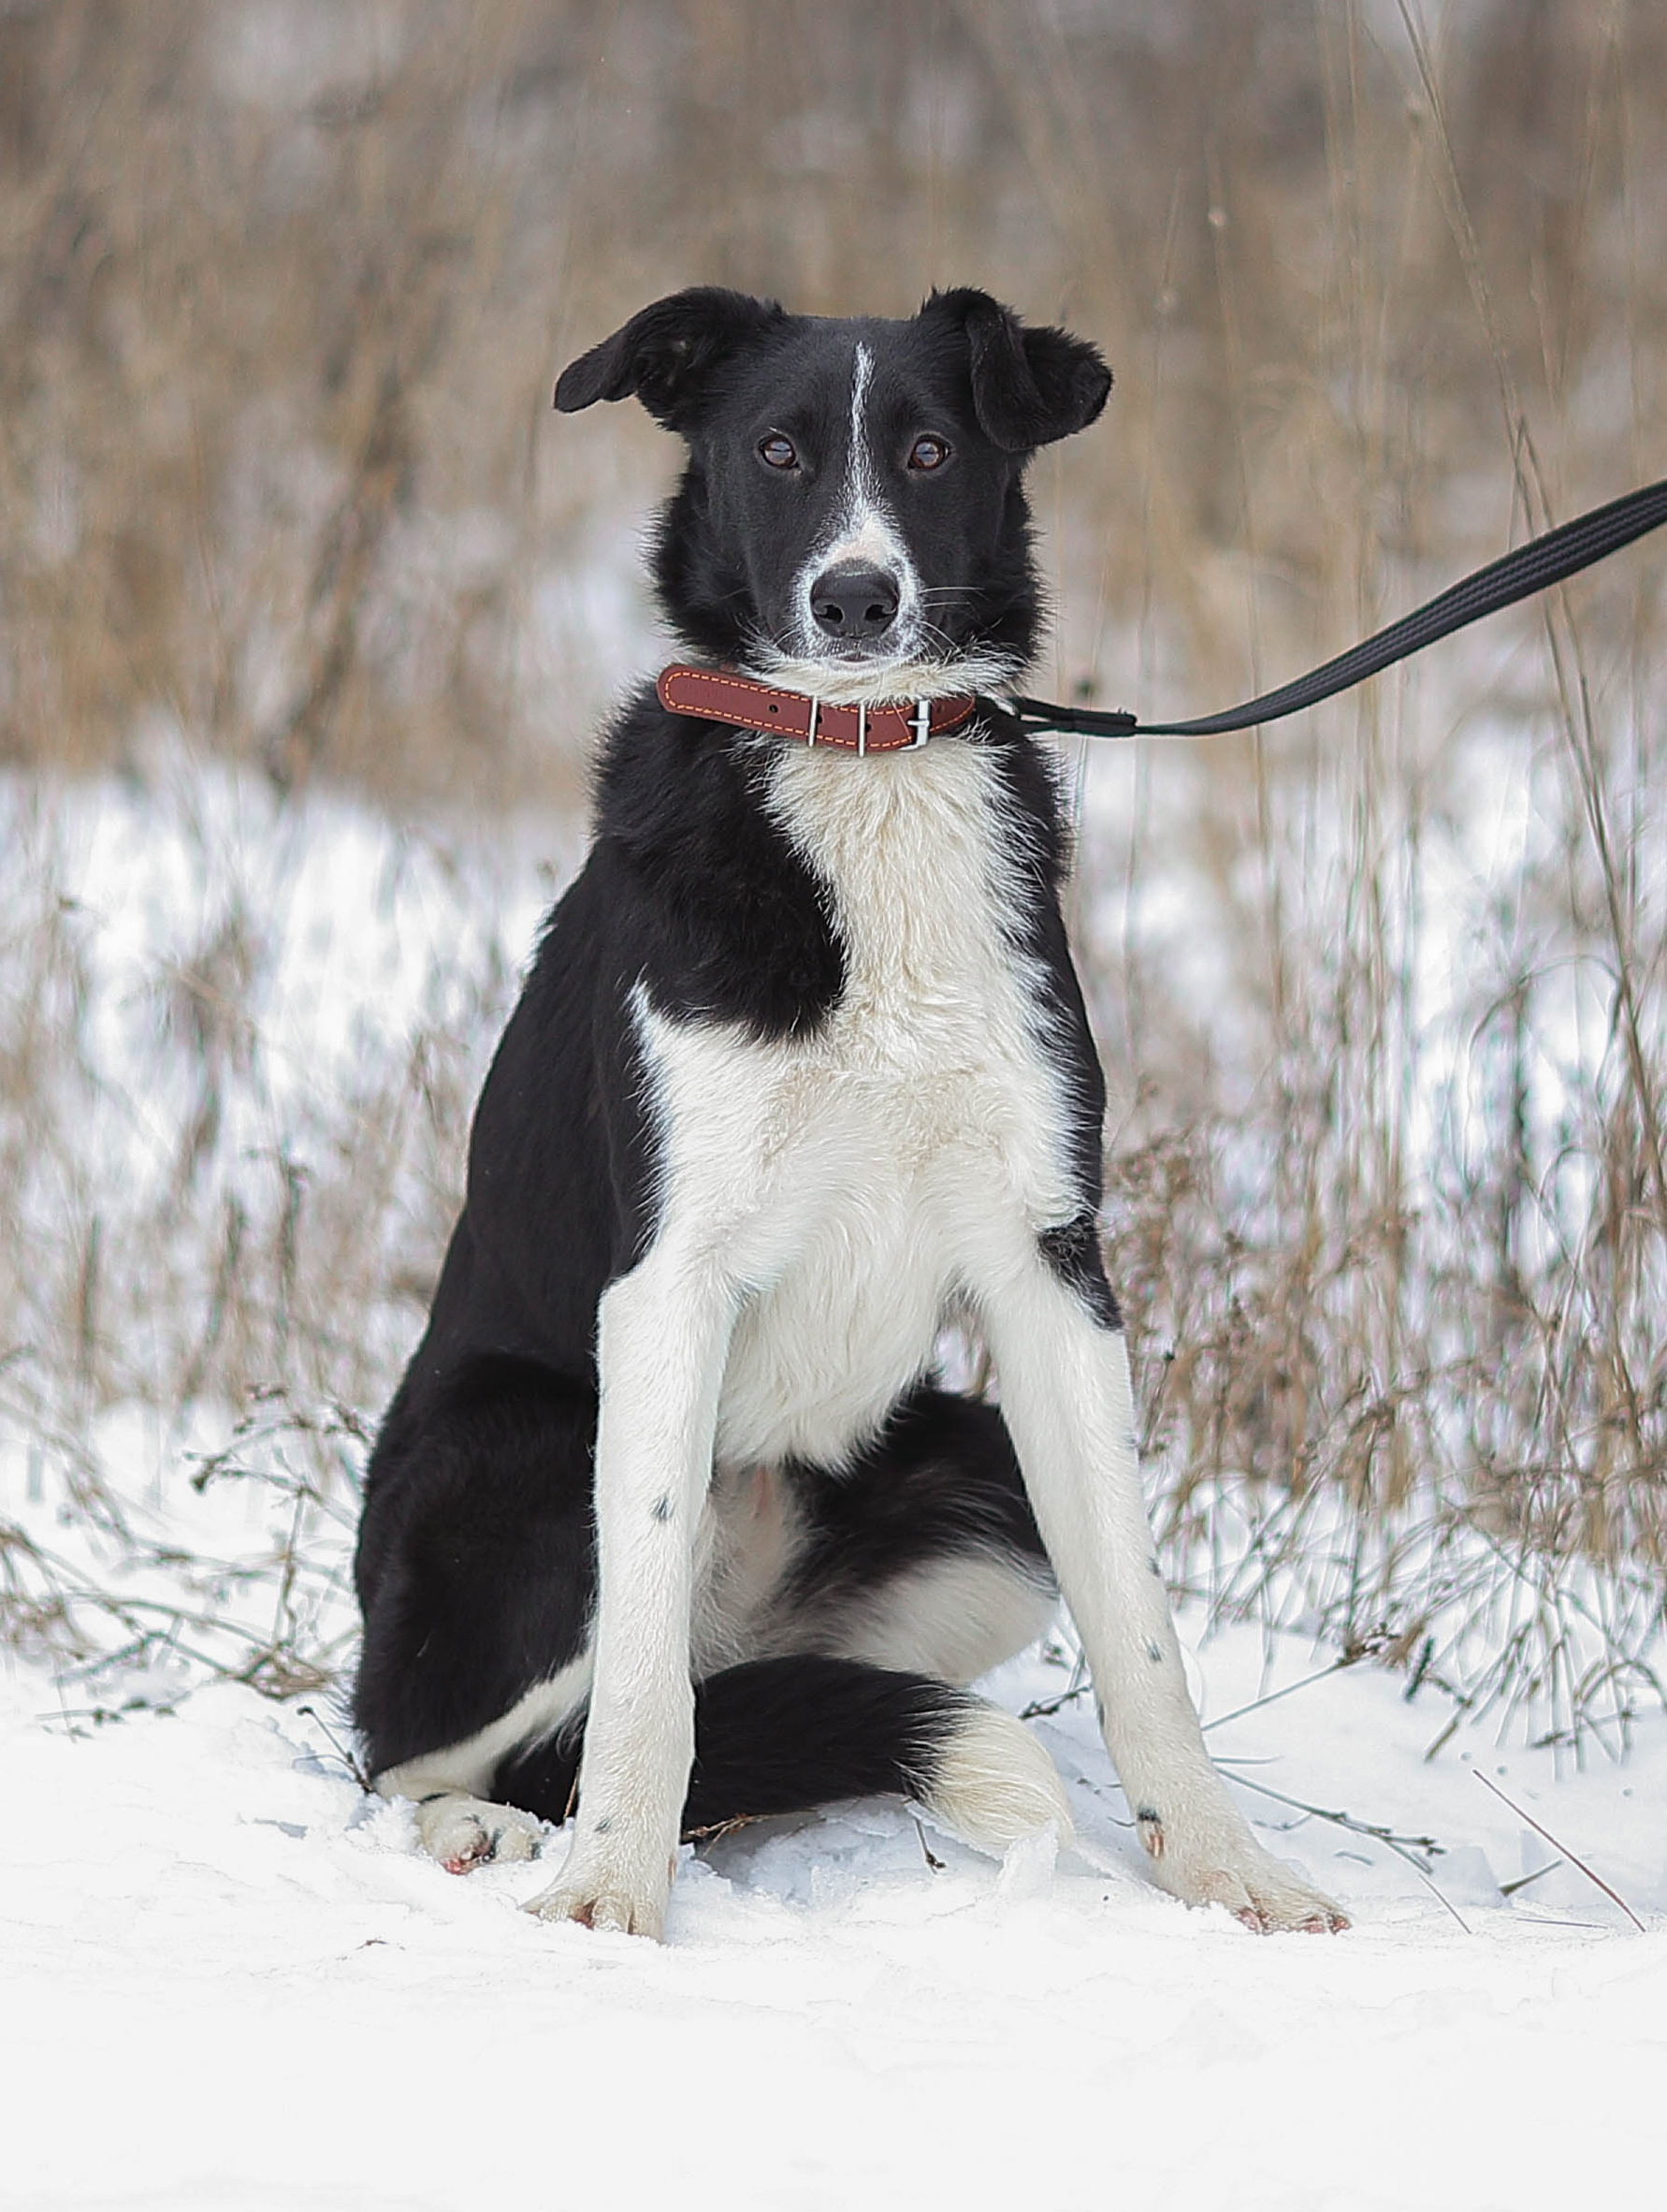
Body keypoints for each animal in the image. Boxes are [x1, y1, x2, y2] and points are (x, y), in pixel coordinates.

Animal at [351, 289, 1335, 1937]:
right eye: (776, 450)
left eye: (930, 449)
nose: (857, 599)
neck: (858, 765)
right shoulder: (667, 1282)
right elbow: (638, 1690)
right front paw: (607, 1896)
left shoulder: (1049, 1270)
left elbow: (1141, 1633)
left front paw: (1220, 1868)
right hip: (532, 1462)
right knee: (428, 1748)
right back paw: (481, 1830)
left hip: (980, 1482)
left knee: (755, 1711)